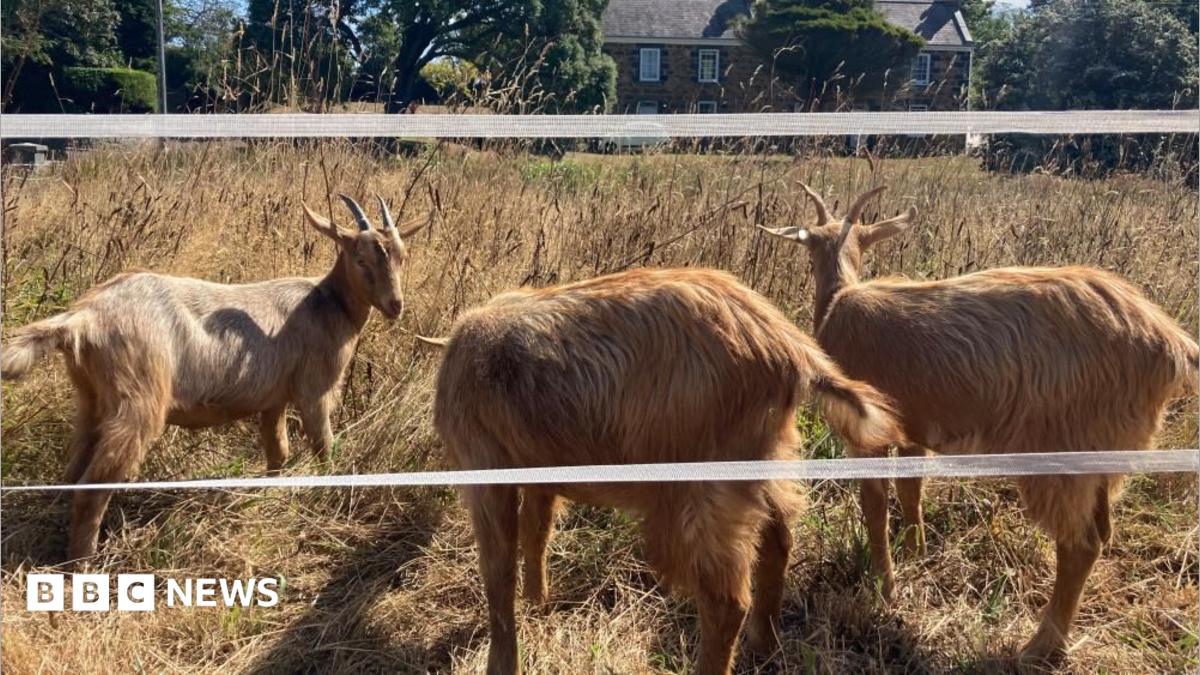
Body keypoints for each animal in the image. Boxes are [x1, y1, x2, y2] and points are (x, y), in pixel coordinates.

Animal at [1, 195, 425, 563]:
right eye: (360, 258)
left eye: (402, 256)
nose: (396, 306)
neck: (327, 303)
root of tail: (83, 318)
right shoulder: (314, 389)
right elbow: (324, 447)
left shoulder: (273, 399)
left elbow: (278, 452)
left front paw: (270, 496)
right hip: (139, 398)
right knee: (95, 483)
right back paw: (83, 564)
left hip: (91, 398)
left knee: (75, 471)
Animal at [430, 266, 906, 675]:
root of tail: (792, 350)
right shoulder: (538, 469)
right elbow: (536, 531)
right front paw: (537, 605)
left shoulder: (483, 464)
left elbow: (498, 568)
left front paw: (503, 661)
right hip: (769, 455)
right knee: (778, 539)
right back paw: (764, 647)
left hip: (701, 485)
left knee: (726, 598)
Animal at [758, 184, 1199, 661]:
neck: (840, 300)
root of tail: (1172, 344)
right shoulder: (914, 428)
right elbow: (911, 490)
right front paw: (915, 551)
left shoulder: (866, 434)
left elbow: (874, 506)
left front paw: (885, 586)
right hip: (1104, 455)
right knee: (1102, 529)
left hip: (1062, 449)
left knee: (1079, 544)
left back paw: (1039, 647)